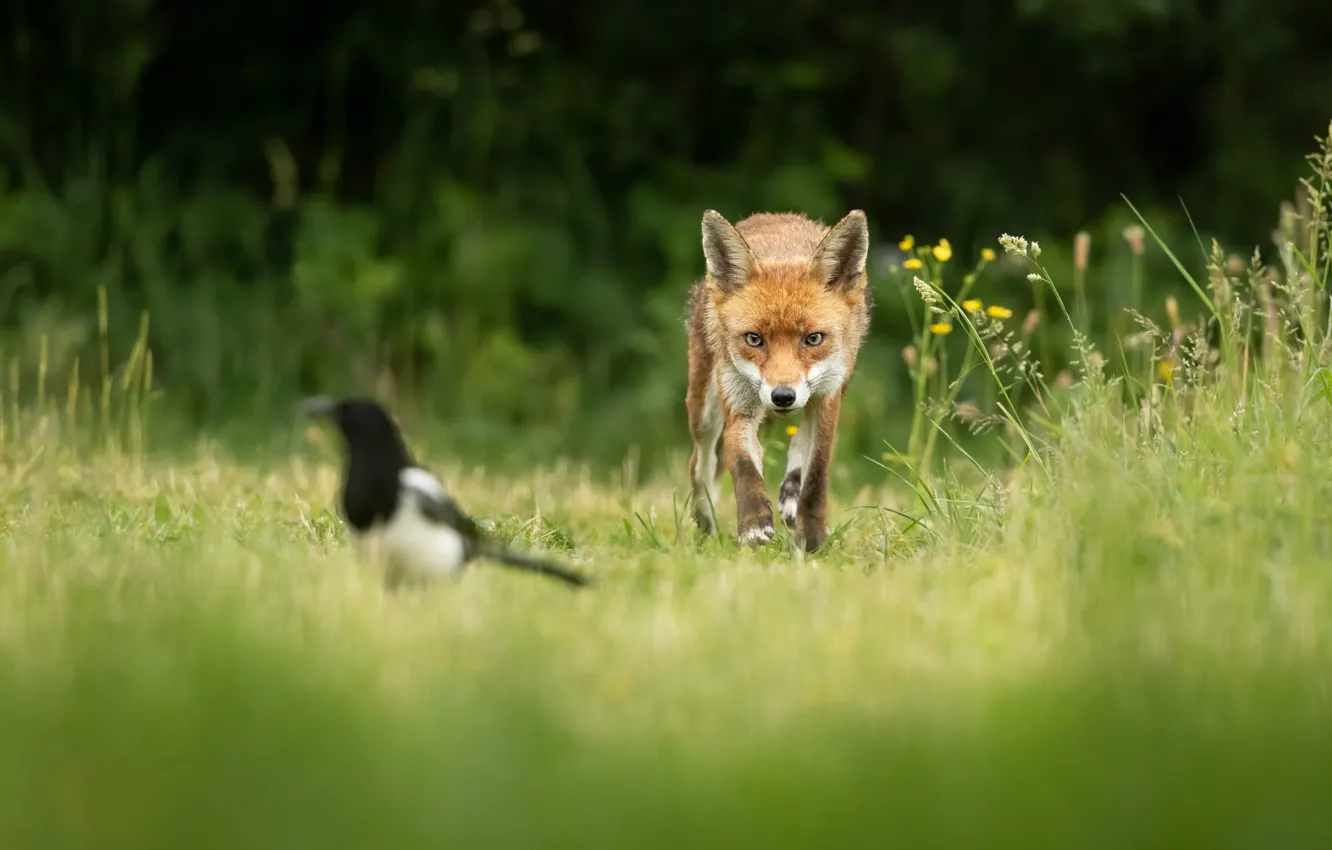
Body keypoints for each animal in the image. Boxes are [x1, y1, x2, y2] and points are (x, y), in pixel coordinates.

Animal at [684, 208, 872, 552]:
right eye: (754, 339)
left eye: (813, 338)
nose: (782, 396)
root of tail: (773, 214)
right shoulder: (740, 403)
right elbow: (742, 463)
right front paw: (753, 526)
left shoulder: (827, 398)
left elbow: (817, 473)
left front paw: (812, 538)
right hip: (703, 411)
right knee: (701, 462)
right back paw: (704, 518)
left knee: (799, 442)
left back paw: (791, 494)